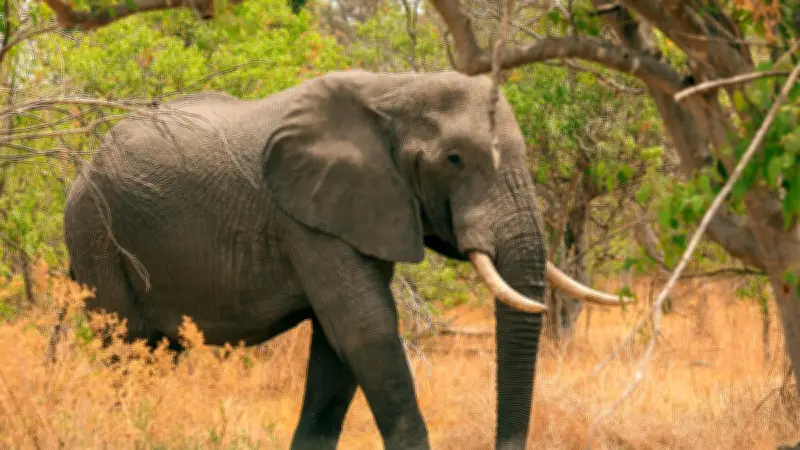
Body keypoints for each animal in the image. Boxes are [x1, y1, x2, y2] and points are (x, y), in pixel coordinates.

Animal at [63, 69, 630, 450]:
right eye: (454, 160)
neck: (394, 90)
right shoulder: (305, 215)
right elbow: (366, 329)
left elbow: (337, 349)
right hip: (95, 233)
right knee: (124, 348)